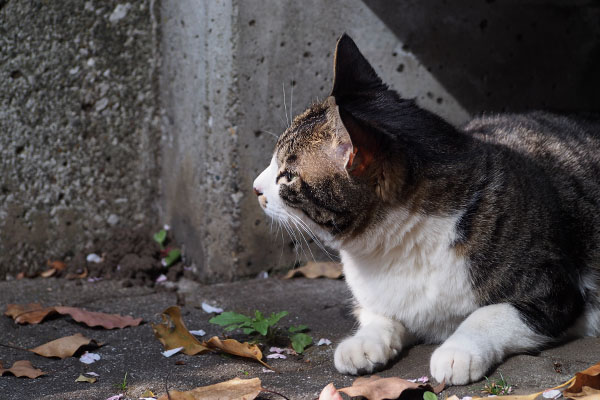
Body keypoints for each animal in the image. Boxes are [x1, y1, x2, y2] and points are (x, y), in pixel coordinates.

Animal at [252, 34, 600, 384]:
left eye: (287, 175)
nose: (255, 188)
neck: (394, 249)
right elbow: (380, 314)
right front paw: (363, 344)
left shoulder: (555, 291)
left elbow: (491, 313)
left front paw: (457, 352)